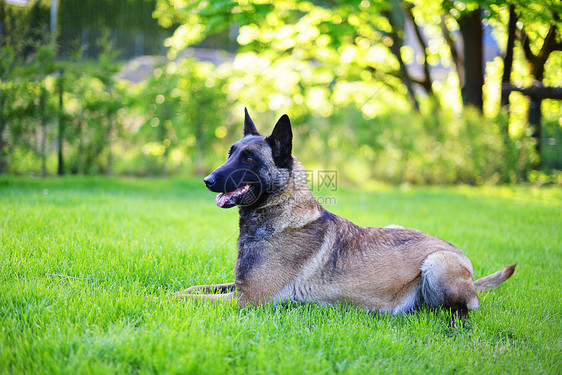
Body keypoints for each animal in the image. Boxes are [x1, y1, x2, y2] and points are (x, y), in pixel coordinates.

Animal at [177, 110, 516, 316]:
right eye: (230, 153)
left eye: (248, 159)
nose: (207, 180)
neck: (281, 213)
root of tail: (462, 259)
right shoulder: (239, 287)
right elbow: (193, 288)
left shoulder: (248, 299)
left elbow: (185, 298)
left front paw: (163, 300)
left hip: (436, 263)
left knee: (462, 311)